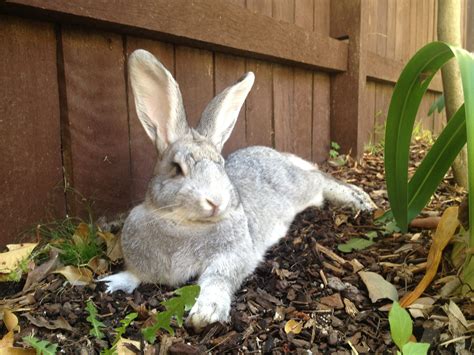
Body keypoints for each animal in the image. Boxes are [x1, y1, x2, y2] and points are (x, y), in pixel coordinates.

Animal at [102, 49, 376, 330]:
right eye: (177, 168)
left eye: (221, 165)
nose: (216, 201)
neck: (184, 225)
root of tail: (276, 154)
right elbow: (136, 274)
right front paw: (113, 283)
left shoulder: (232, 255)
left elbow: (218, 278)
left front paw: (206, 312)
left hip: (299, 187)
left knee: (320, 178)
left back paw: (360, 199)